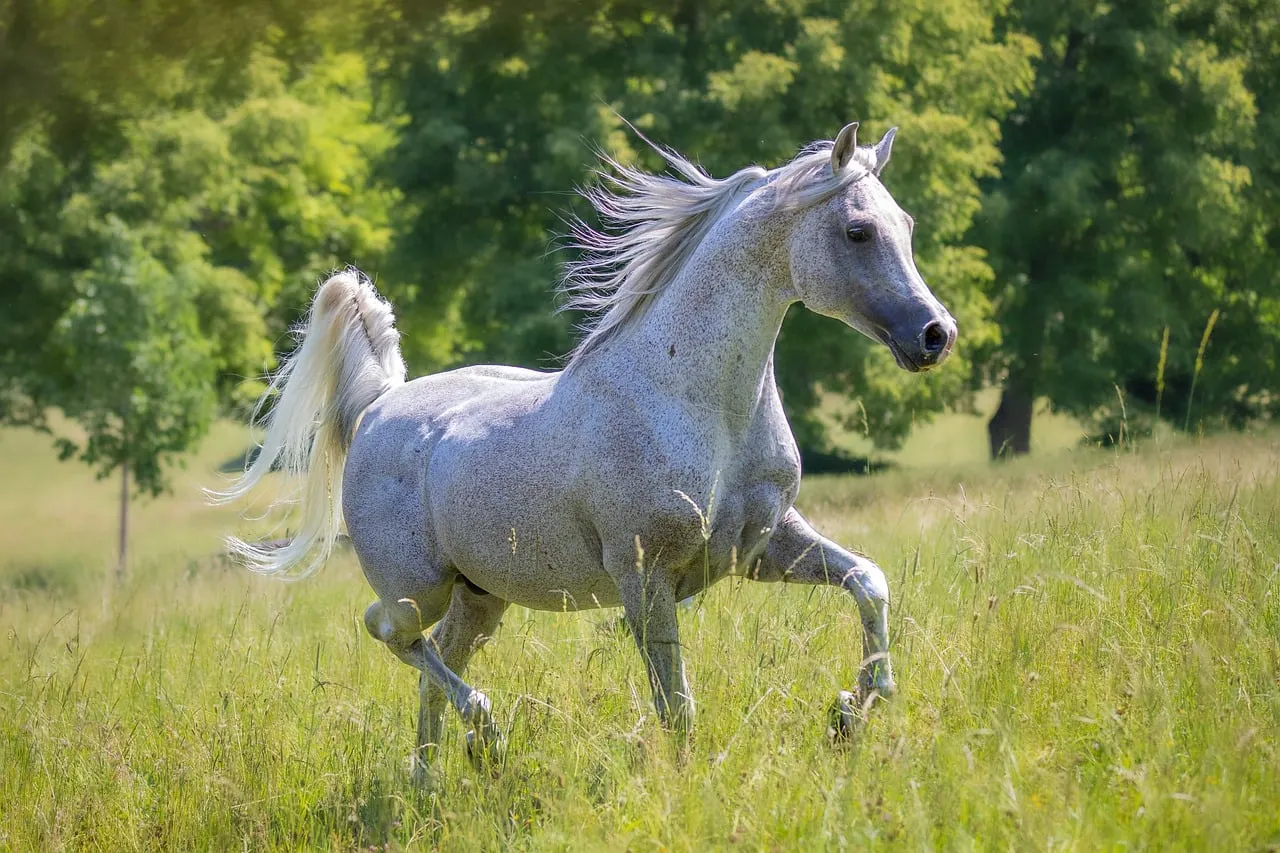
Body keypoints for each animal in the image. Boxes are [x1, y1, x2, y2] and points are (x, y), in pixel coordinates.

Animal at [211, 122, 956, 784]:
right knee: (391, 633)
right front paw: (688, 787)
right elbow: (677, 707)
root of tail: (378, 406)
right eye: (857, 230)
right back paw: (485, 733)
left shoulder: (764, 547)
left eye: (907, 224)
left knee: (436, 661)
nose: (935, 334)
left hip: (481, 596)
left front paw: (849, 713)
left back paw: (430, 783)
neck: (692, 403)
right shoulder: (645, 578)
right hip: (415, 587)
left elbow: (869, 581)